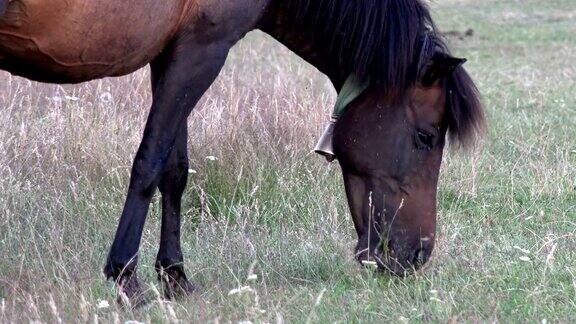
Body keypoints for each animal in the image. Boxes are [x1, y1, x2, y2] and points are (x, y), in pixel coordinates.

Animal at [0, 0, 486, 304]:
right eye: (425, 137)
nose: (417, 255)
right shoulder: (203, 50)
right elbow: (150, 162)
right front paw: (126, 279)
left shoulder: (174, 54)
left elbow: (175, 169)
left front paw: (174, 276)